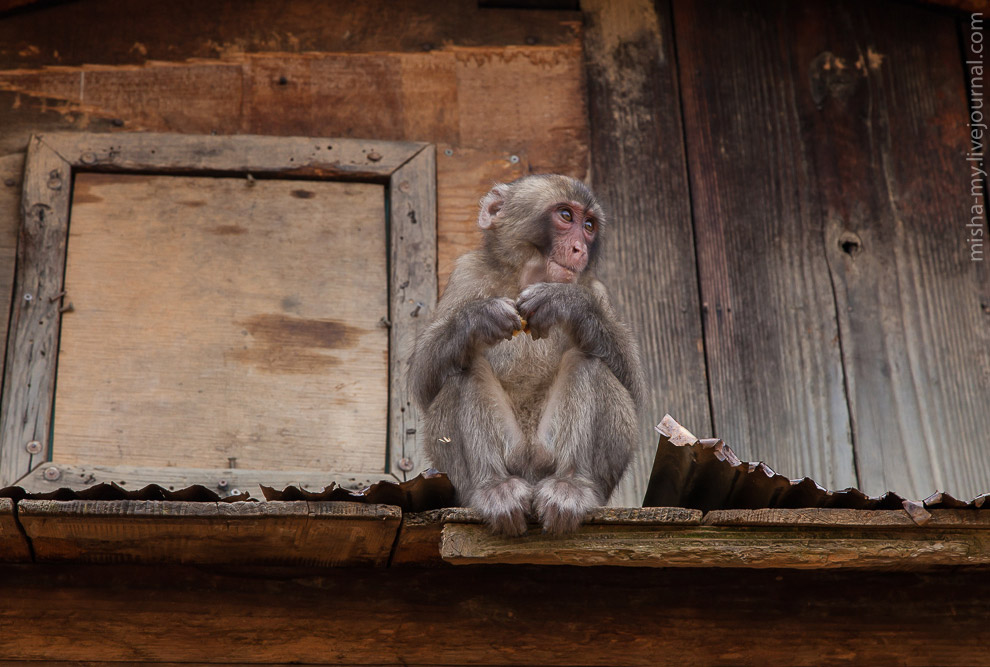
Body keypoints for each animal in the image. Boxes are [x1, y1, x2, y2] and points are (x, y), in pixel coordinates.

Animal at [408, 174, 648, 536]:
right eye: (566, 216)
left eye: (589, 225)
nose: (580, 249)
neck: (525, 277)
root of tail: (531, 471)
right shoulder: (468, 274)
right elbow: (424, 378)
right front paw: (478, 318)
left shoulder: (595, 289)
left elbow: (632, 384)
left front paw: (567, 304)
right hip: (514, 457)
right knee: (463, 370)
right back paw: (494, 487)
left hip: (549, 456)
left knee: (590, 362)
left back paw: (571, 486)